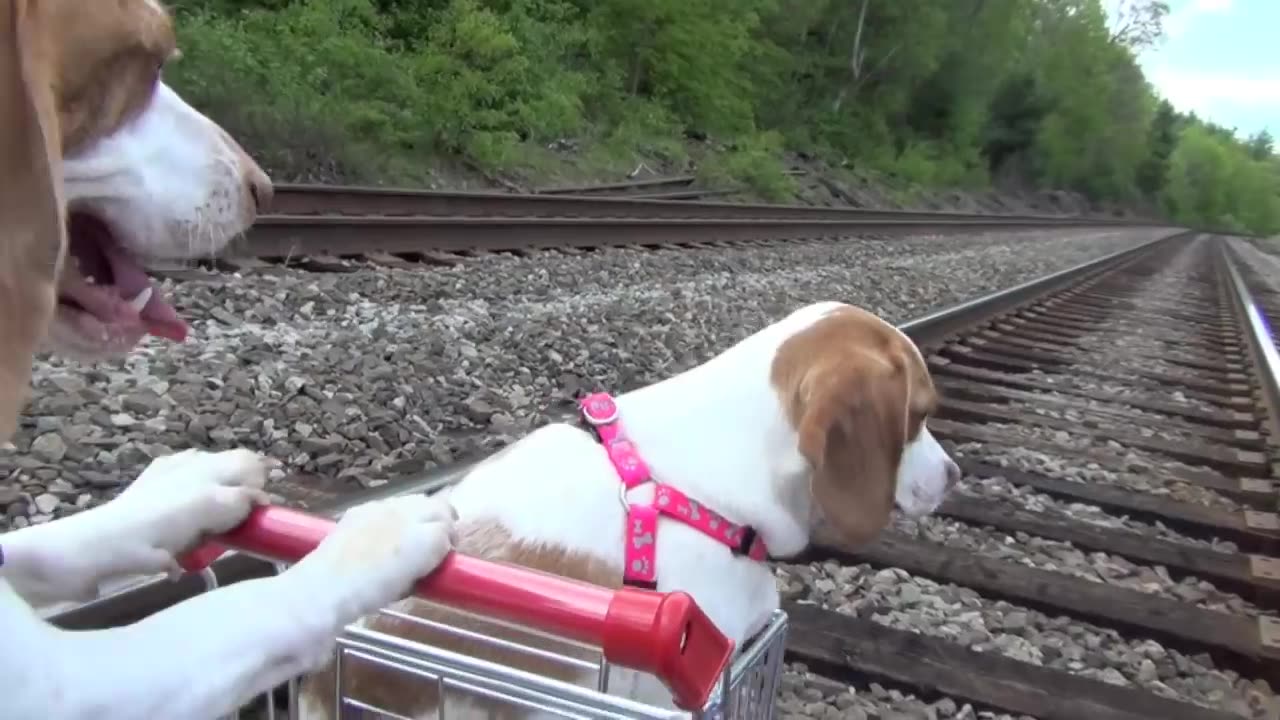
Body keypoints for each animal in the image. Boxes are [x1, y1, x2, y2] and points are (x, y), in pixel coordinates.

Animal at [0, 1, 458, 717]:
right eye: (150, 61)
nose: (262, 188)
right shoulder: (60, 685)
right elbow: (246, 607)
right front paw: (373, 535)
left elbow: (51, 544)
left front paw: (176, 493)